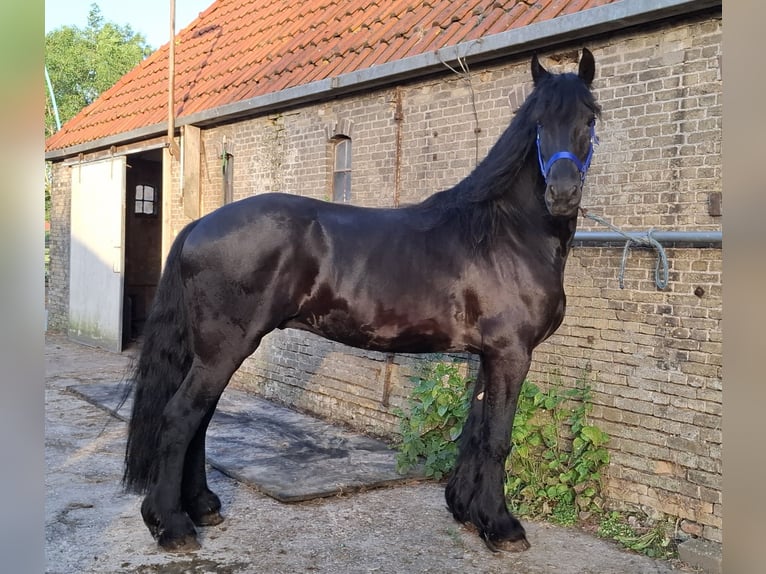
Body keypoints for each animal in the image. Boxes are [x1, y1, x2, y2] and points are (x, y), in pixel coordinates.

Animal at [124, 48, 601, 552]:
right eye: (538, 124)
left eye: (589, 118)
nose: (562, 193)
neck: (506, 232)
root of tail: (199, 224)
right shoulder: (512, 353)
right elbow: (496, 437)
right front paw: (502, 526)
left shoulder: (489, 356)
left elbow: (475, 430)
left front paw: (467, 510)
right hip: (224, 349)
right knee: (181, 417)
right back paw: (172, 526)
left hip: (212, 352)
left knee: (200, 419)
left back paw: (201, 507)